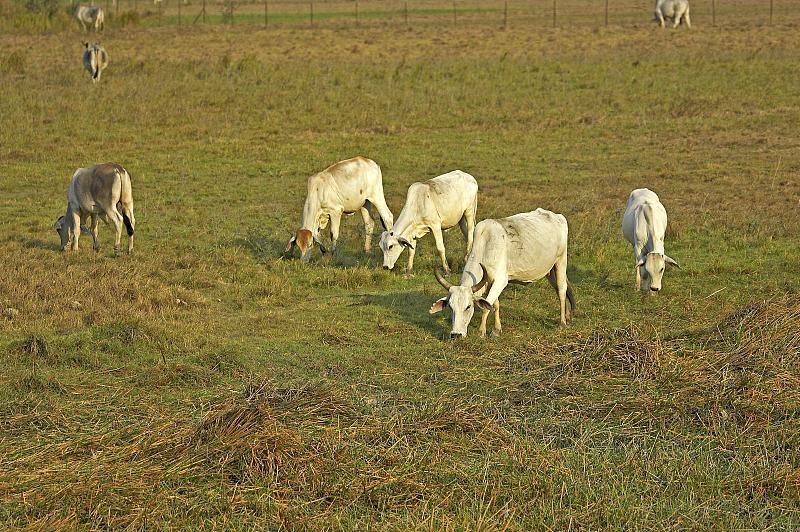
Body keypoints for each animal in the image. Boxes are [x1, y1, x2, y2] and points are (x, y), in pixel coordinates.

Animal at [432, 208, 576, 336]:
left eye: (468, 307)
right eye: (450, 307)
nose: (455, 334)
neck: (485, 245)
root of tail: (558, 216)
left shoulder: (501, 280)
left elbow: (487, 306)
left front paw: (481, 332)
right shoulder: (490, 282)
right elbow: (495, 304)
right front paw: (496, 329)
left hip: (561, 261)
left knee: (562, 290)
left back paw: (562, 322)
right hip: (550, 271)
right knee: (560, 289)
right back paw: (568, 317)